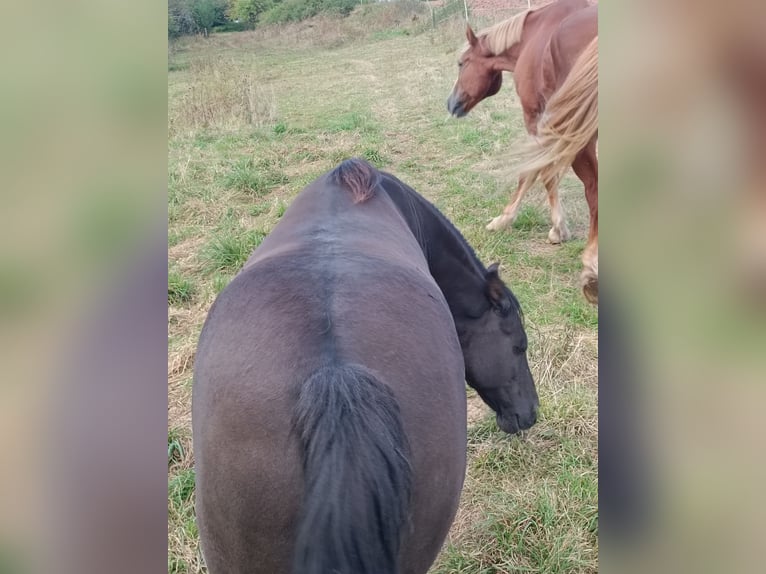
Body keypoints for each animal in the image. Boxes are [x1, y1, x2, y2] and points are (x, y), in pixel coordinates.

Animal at [450, 0, 600, 306]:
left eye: (461, 63)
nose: (451, 103)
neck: (533, 36)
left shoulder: (537, 118)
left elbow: (536, 173)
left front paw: (509, 220)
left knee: (594, 188)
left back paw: (592, 266)